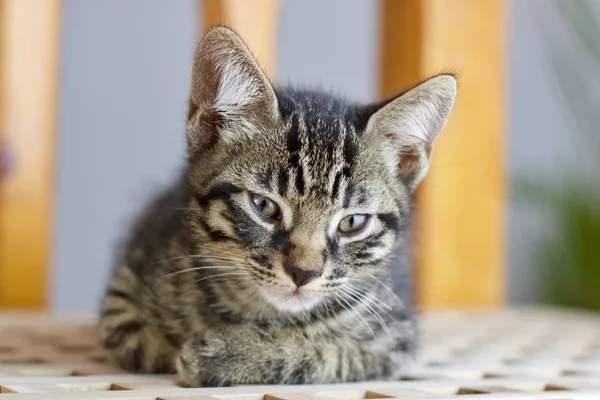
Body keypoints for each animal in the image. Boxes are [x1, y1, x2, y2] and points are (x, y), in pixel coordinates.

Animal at [99, 25, 454, 388]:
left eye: (352, 222)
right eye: (264, 206)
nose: (303, 273)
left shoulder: (392, 339)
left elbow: (324, 353)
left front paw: (227, 354)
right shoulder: (122, 293)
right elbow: (143, 343)